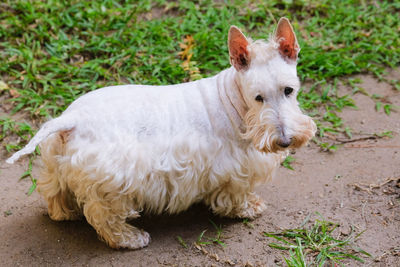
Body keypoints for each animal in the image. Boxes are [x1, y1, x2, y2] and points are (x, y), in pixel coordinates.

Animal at [7, 17, 316, 250]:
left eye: (289, 90)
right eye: (258, 97)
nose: (285, 141)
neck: (235, 100)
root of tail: (71, 118)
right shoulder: (235, 171)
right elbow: (236, 194)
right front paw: (249, 208)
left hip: (58, 162)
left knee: (54, 191)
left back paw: (65, 212)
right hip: (113, 183)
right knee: (104, 216)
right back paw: (131, 238)